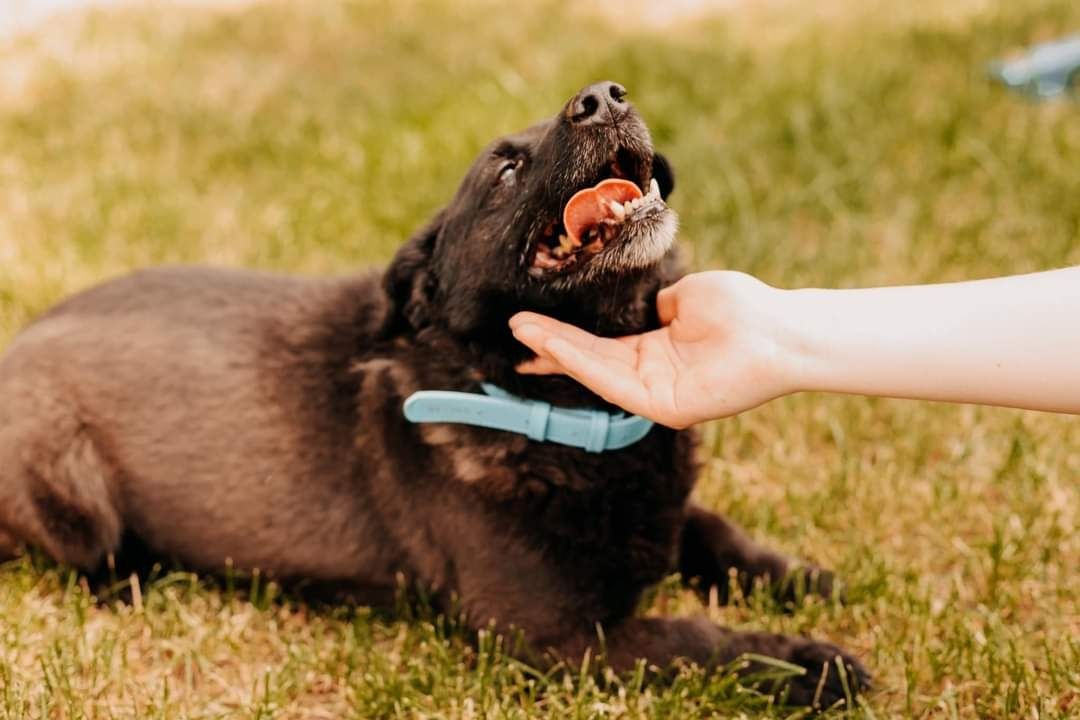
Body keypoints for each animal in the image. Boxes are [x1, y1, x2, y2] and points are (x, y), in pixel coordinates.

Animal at [0, 81, 864, 708]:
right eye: (505, 170)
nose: (605, 95)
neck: (568, 414)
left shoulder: (663, 517)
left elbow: (718, 535)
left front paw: (805, 581)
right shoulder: (554, 641)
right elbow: (699, 645)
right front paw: (810, 664)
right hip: (72, 499)